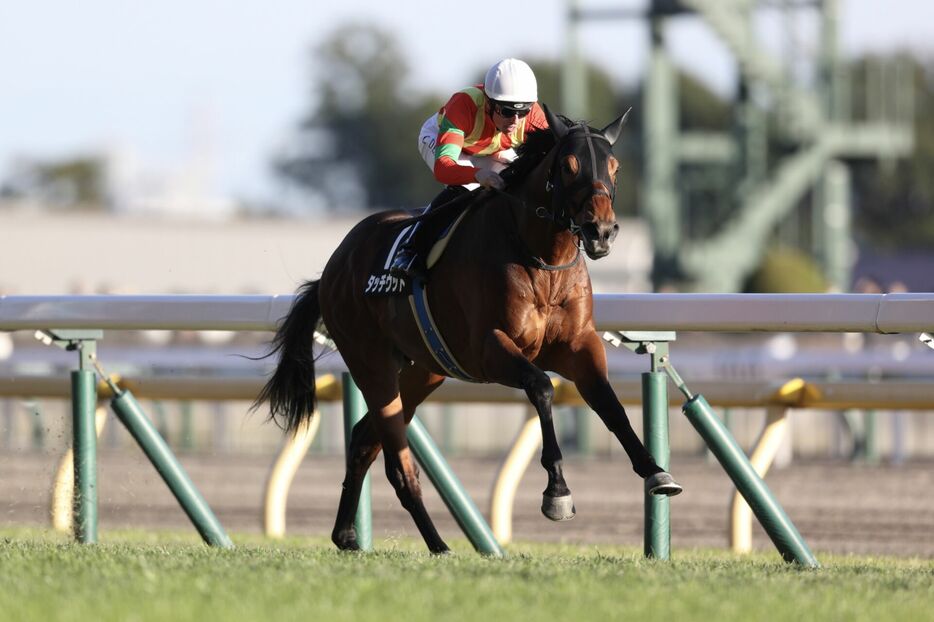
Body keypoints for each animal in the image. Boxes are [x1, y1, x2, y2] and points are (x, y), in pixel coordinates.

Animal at [254, 107, 680, 556]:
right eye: (568, 166)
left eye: (614, 167)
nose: (601, 231)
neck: (542, 258)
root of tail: (334, 265)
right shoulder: (489, 350)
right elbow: (542, 387)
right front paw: (557, 492)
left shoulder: (578, 345)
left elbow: (607, 400)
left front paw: (656, 471)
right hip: (370, 360)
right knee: (397, 462)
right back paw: (437, 544)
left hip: (425, 370)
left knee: (364, 438)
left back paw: (347, 535)